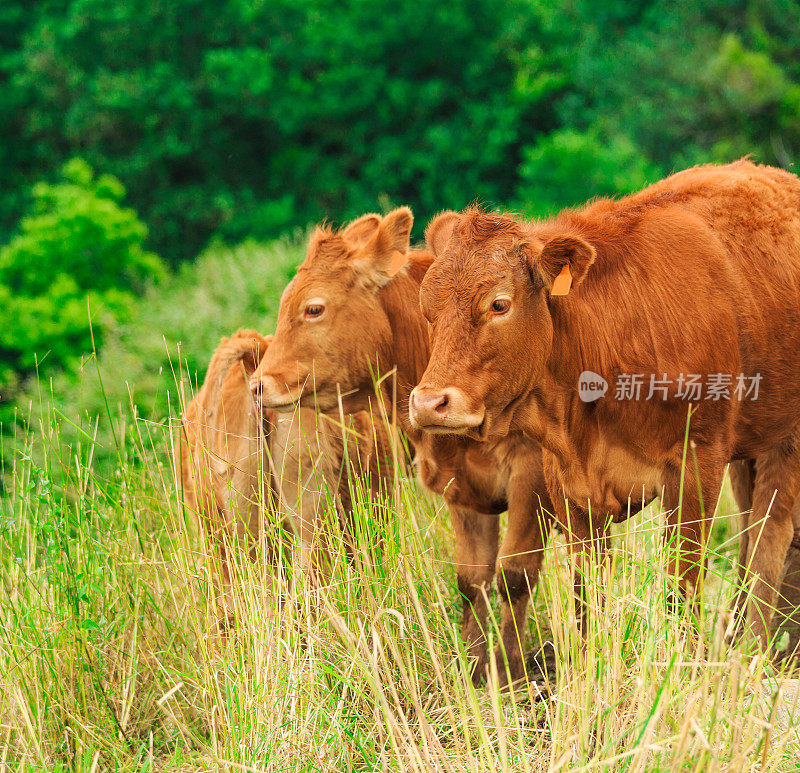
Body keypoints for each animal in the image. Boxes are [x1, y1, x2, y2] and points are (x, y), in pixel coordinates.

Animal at [252, 210, 556, 680]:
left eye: (313, 308)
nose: (259, 384)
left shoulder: (531, 478)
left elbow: (514, 577)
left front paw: (507, 672)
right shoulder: (460, 487)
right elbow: (471, 581)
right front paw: (473, 668)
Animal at [416, 160, 800, 648]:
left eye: (499, 304)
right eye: (428, 308)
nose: (429, 403)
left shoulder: (697, 464)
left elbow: (681, 585)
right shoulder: (566, 483)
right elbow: (589, 596)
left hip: (785, 441)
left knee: (771, 538)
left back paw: (753, 648)